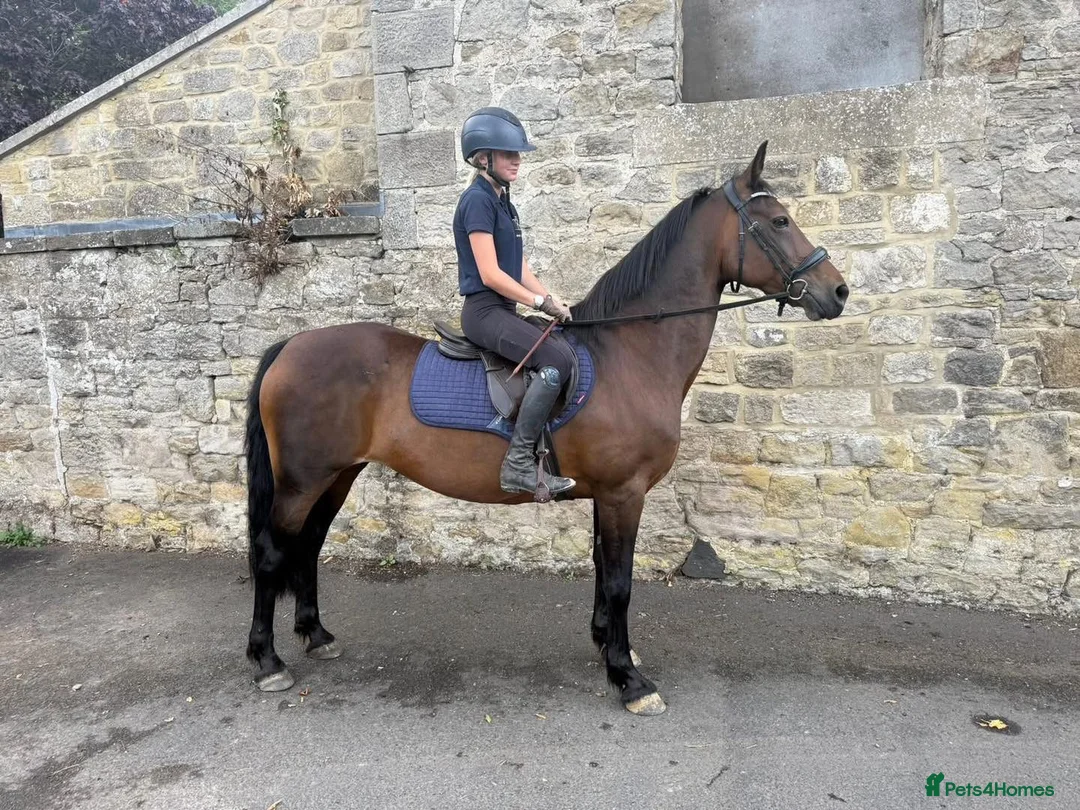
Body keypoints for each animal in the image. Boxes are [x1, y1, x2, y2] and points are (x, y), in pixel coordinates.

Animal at [243, 142, 849, 715]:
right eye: (779, 222)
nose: (837, 291)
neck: (631, 353)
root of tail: (290, 346)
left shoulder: (608, 494)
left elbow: (603, 570)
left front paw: (608, 647)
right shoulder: (624, 492)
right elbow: (621, 581)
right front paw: (629, 679)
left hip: (337, 475)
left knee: (308, 545)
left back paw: (316, 634)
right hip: (303, 480)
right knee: (273, 551)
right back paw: (267, 660)